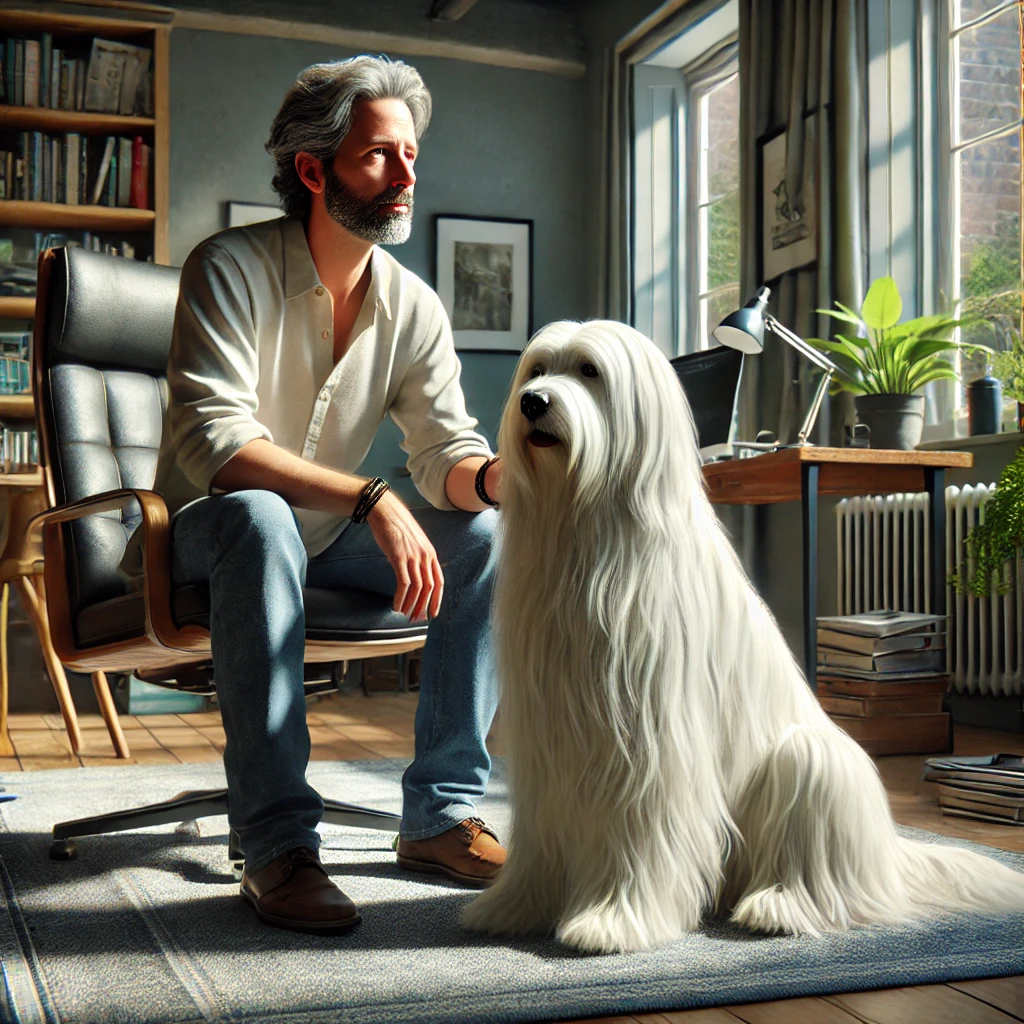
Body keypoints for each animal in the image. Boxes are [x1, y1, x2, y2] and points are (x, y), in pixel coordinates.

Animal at [464, 317, 1024, 950]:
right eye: (536, 370)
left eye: (589, 371)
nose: (533, 402)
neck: (584, 526)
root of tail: (890, 859)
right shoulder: (550, 737)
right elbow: (541, 834)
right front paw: (515, 905)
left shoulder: (651, 740)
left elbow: (639, 831)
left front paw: (616, 920)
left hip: (811, 762)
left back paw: (778, 906)